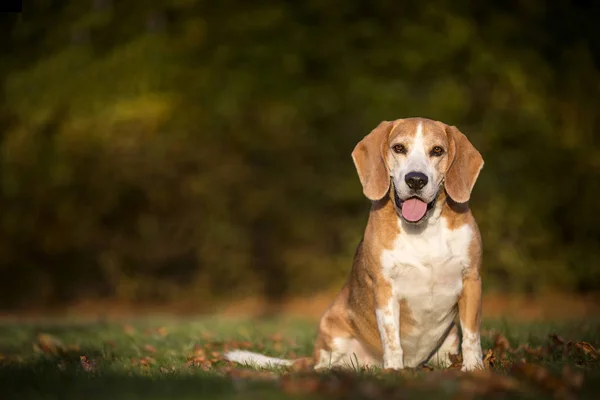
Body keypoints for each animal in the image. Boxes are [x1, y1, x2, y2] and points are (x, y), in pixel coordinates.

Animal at [227, 116, 486, 372]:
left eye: (437, 150)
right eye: (399, 148)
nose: (415, 180)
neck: (423, 229)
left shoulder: (471, 280)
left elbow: (472, 335)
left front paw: (474, 368)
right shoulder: (384, 287)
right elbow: (391, 338)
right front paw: (394, 370)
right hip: (332, 329)